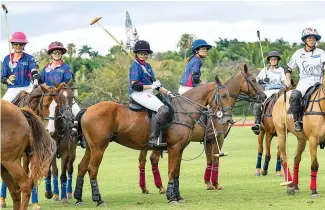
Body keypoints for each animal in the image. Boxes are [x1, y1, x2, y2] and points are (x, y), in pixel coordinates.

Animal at [73, 74, 234, 206]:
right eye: (224, 95)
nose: (228, 120)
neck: (183, 111)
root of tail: (87, 110)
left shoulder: (180, 149)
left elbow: (177, 172)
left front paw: (178, 196)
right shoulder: (174, 147)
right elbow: (171, 171)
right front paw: (171, 197)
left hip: (91, 147)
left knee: (81, 167)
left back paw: (78, 198)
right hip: (99, 147)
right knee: (92, 169)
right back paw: (98, 199)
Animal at [136, 64, 266, 194]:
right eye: (253, 80)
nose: (264, 96)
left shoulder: (208, 140)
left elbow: (209, 160)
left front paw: (208, 183)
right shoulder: (218, 137)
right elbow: (216, 160)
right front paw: (216, 184)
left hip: (145, 142)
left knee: (142, 160)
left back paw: (144, 187)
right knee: (153, 159)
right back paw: (160, 187)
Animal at [272, 69, 322, 197]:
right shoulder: (313, 140)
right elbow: (314, 165)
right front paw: (313, 190)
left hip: (301, 138)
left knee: (296, 158)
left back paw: (295, 185)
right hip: (281, 131)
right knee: (283, 155)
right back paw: (289, 185)